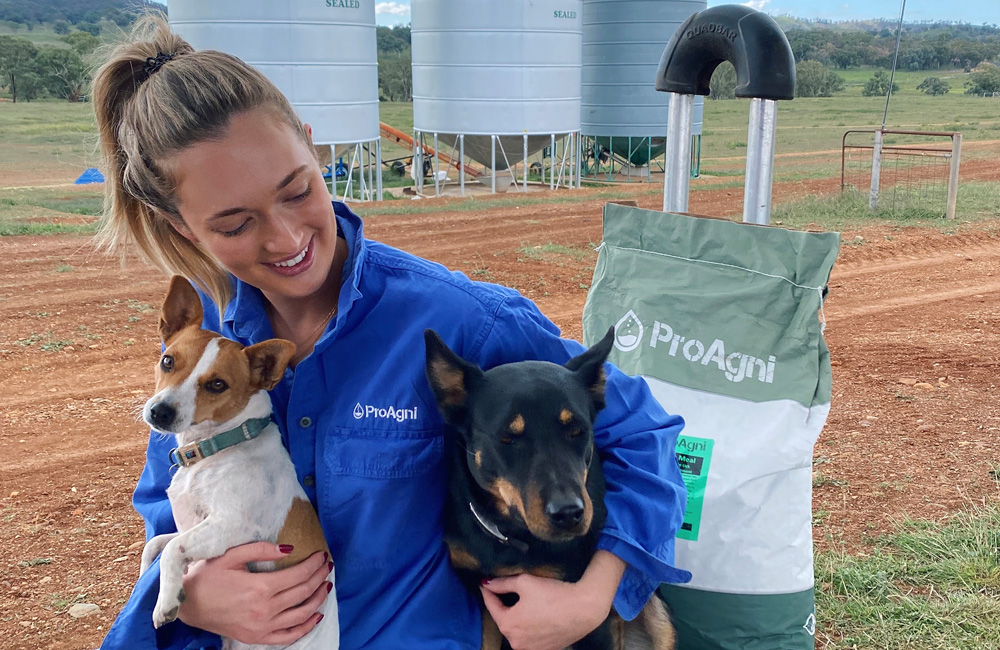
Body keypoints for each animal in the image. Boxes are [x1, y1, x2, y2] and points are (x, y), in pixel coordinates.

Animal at [140, 274, 340, 648]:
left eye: (218, 384)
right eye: (168, 361)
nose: (160, 412)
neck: (215, 448)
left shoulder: (234, 526)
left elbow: (172, 547)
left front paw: (166, 602)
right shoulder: (190, 525)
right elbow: (155, 545)